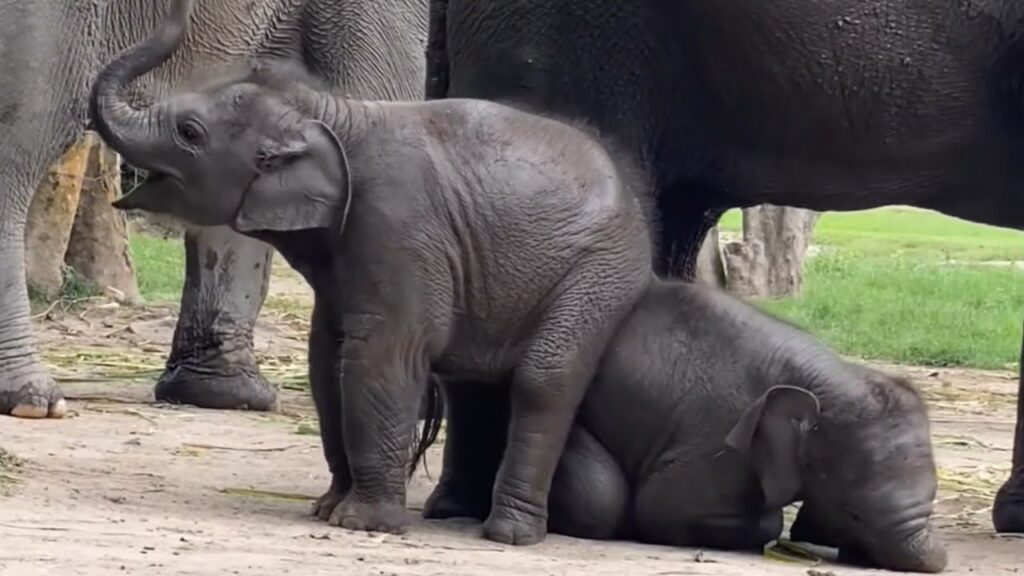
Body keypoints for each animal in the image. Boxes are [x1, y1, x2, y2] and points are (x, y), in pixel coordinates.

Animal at [88, 0, 653, 545]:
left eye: (189, 132)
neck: (336, 114)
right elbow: (326, 360)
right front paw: (327, 510)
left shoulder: (398, 227)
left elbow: (380, 356)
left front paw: (361, 524)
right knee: (472, 386)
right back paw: (457, 514)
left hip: (599, 272)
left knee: (543, 379)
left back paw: (508, 535)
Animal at [425, 279, 948, 573]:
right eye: (853, 510)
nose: (938, 562)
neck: (828, 377)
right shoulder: (717, 440)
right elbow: (664, 507)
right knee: (601, 497)